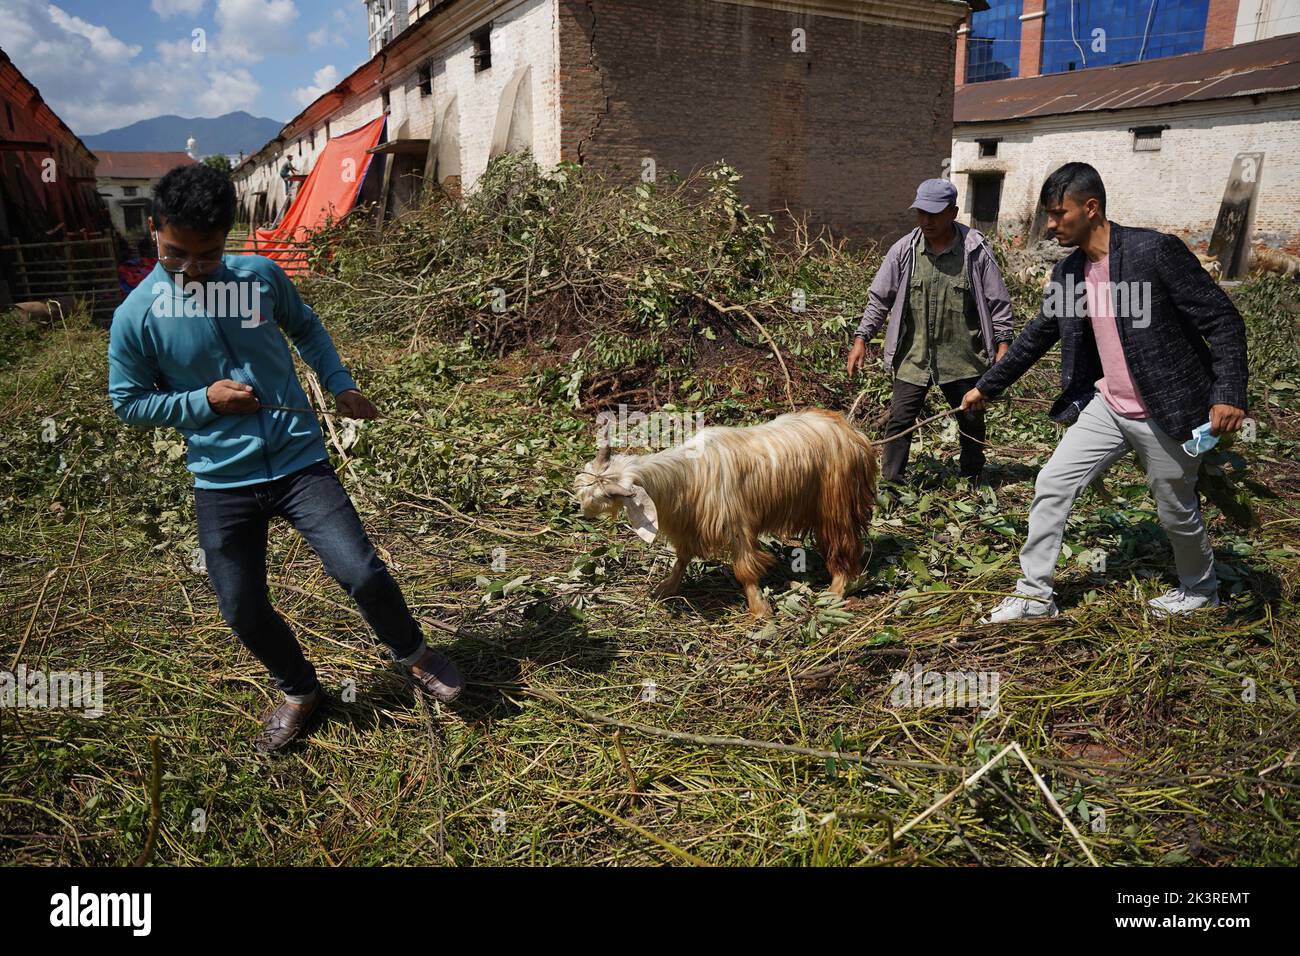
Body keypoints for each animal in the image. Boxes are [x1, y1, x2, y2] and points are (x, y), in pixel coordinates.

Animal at [574, 408, 878, 616]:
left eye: (606, 495)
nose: (583, 509)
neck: (689, 475)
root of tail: (854, 435)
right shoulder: (690, 526)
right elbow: (682, 559)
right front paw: (667, 588)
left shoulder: (736, 525)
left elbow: (745, 569)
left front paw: (759, 610)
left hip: (836, 502)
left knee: (844, 544)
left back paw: (835, 590)